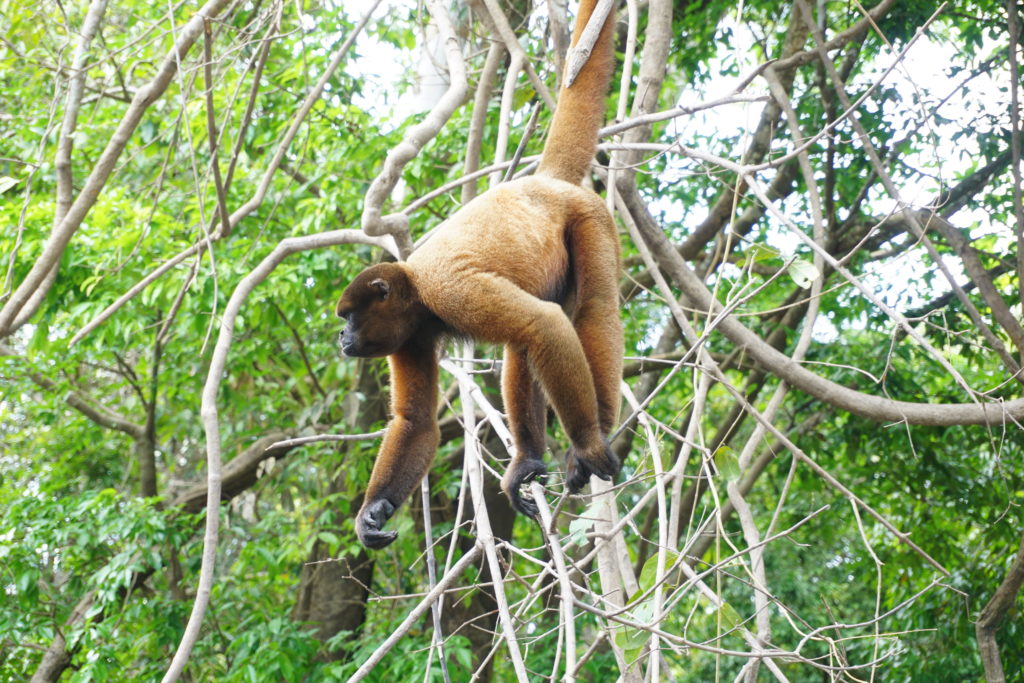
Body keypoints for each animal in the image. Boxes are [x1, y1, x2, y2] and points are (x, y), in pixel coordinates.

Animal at [339, 0, 618, 548]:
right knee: (525, 343)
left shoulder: (453, 291)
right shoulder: (409, 336)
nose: (342, 338)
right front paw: (373, 511)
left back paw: (595, 438)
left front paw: (588, 445)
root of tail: (543, 182)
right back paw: (526, 461)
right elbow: (417, 421)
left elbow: (545, 326)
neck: (417, 293)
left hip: (588, 218)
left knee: (585, 311)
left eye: (350, 317)